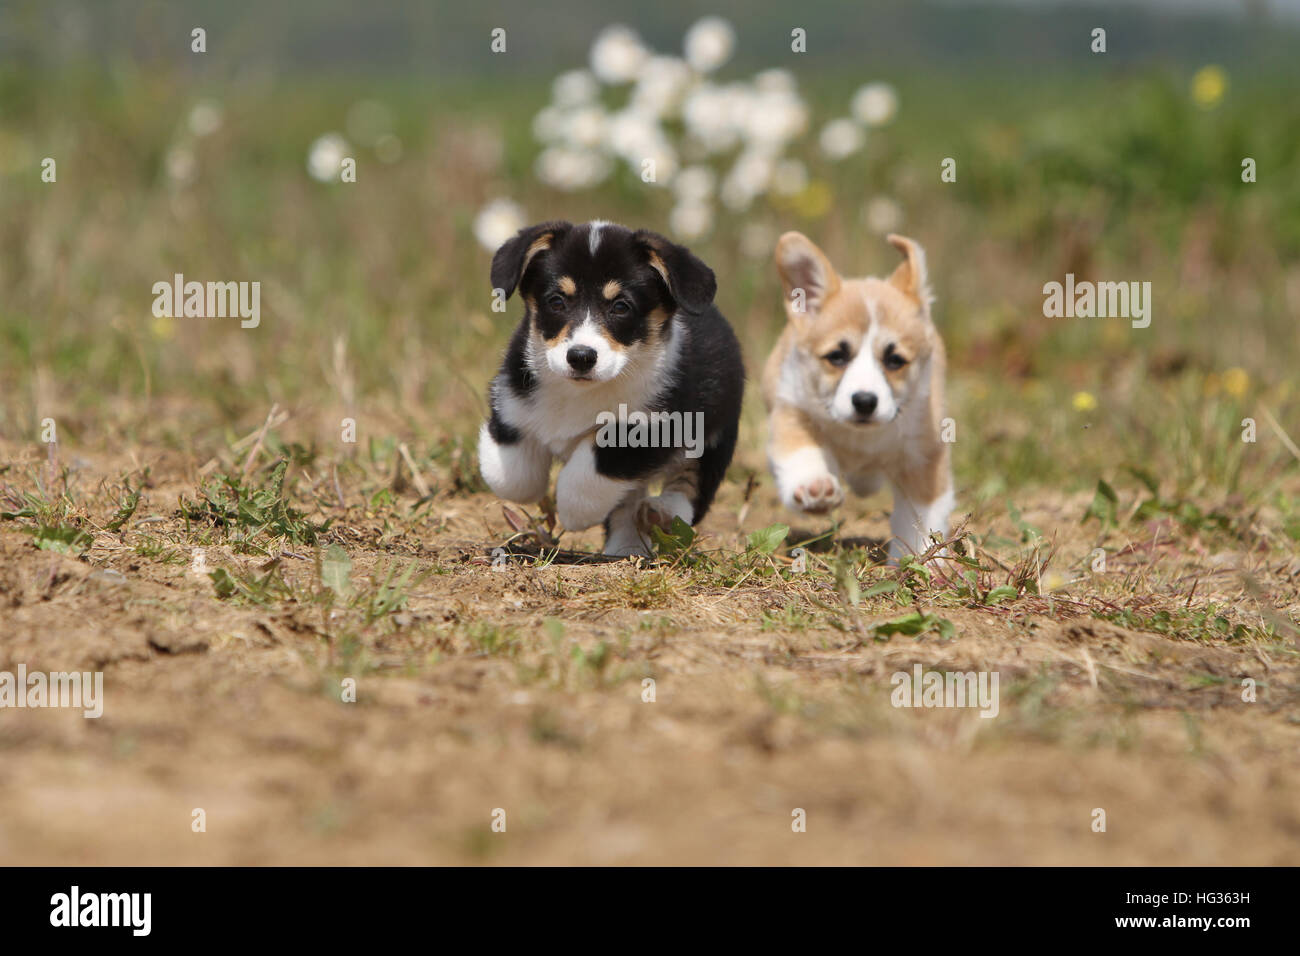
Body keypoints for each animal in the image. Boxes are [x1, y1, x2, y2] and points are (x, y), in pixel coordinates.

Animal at [478, 219, 743, 556]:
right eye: (556, 301)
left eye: (621, 307)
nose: (580, 357)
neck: (579, 392)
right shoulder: (512, 399)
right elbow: (510, 477)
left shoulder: (647, 430)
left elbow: (590, 471)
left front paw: (572, 510)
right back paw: (628, 544)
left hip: (714, 437)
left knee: (691, 485)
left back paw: (661, 514)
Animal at [759, 231, 956, 561]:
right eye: (837, 356)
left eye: (895, 360)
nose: (864, 402)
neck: (862, 439)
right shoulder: (792, 409)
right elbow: (802, 452)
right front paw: (815, 488)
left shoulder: (923, 455)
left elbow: (920, 517)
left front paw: (925, 560)